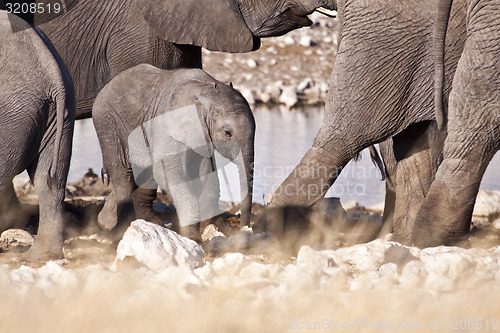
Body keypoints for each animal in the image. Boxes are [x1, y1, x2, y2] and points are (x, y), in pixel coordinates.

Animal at [93, 64, 256, 231]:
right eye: (227, 133)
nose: (244, 228)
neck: (206, 89)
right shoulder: (166, 124)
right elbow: (167, 171)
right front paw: (190, 234)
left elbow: (205, 173)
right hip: (108, 125)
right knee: (124, 178)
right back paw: (114, 227)